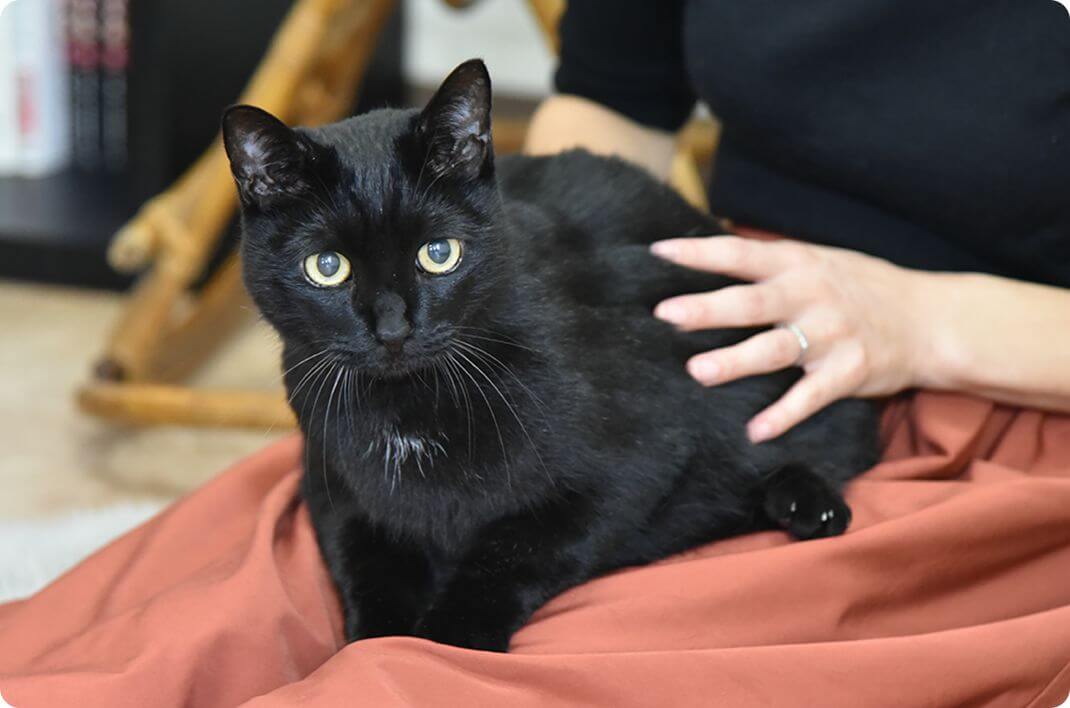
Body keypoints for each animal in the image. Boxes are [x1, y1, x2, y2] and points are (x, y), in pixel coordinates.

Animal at [219, 60, 877, 654]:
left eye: (440, 253)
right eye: (327, 267)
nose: (393, 328)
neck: (408, 407)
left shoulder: (637, 462)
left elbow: (517, 551)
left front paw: (447, 639)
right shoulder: (334, 491)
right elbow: (367, 569)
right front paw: (371, 646)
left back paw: (809, 503)